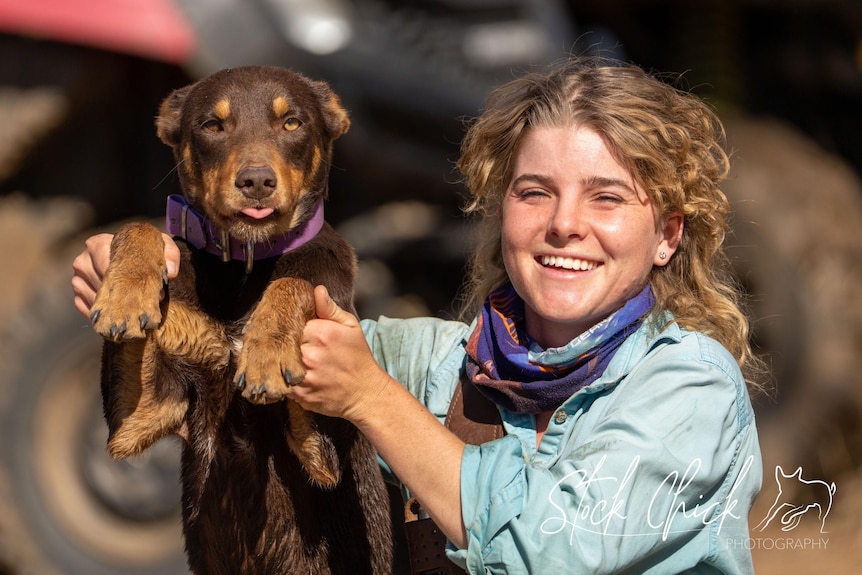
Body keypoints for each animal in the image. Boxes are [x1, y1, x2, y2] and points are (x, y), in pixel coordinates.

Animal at [89, 66, 394, 572]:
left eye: (292, 122)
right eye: (212, 125)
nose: (256, 181)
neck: (247, 265)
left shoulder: (324, 454)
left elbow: (296, 281)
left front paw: (267, 353)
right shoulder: (141, 417)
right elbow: (140, 227)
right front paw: (125, 295)